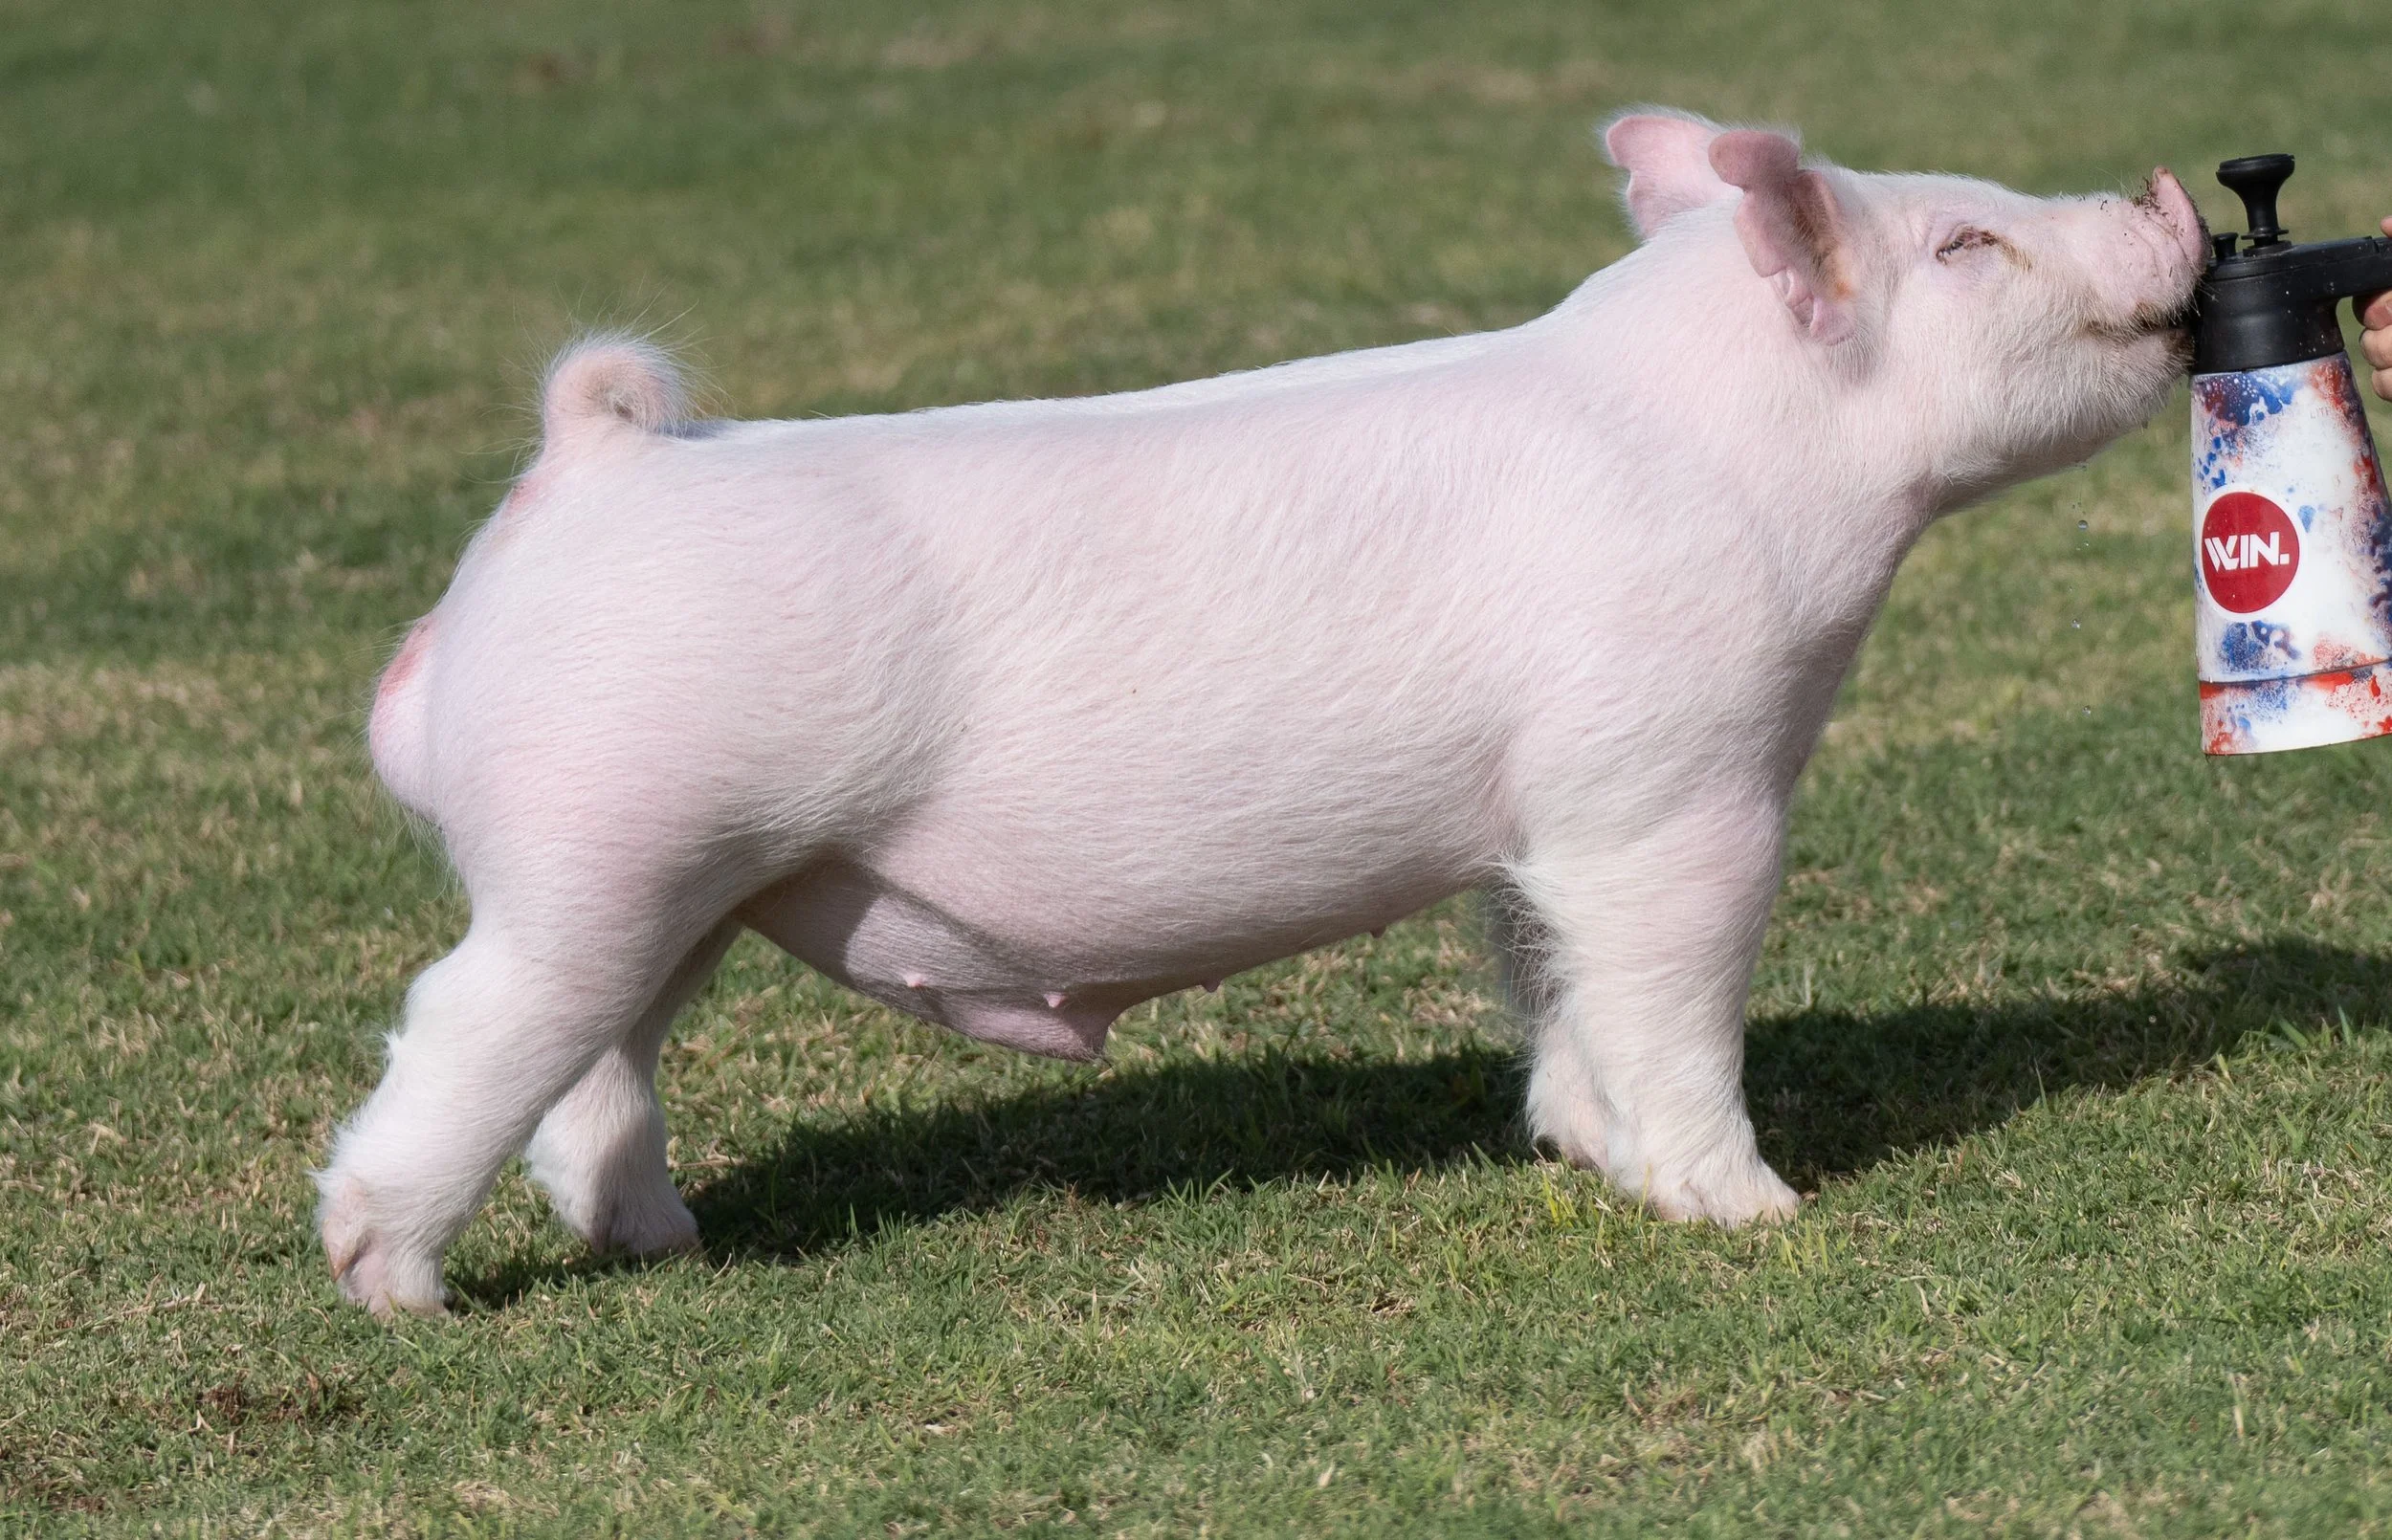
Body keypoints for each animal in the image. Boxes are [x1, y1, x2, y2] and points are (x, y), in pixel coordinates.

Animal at [321, 110, 2208, 1315]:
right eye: (1966, 241)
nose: (2168, 185)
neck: (1749, 463)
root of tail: (583, 466)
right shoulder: (1669, 779)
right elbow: (1670, 981)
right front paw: (1750, 1210)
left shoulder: (1531, 824)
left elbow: (1551, 980)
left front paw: (1578, 1151)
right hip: (602, 837)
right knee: (468, 1018)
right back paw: (398, 1291)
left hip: (688, 876)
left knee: (602, 1056)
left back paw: (668, 1245)